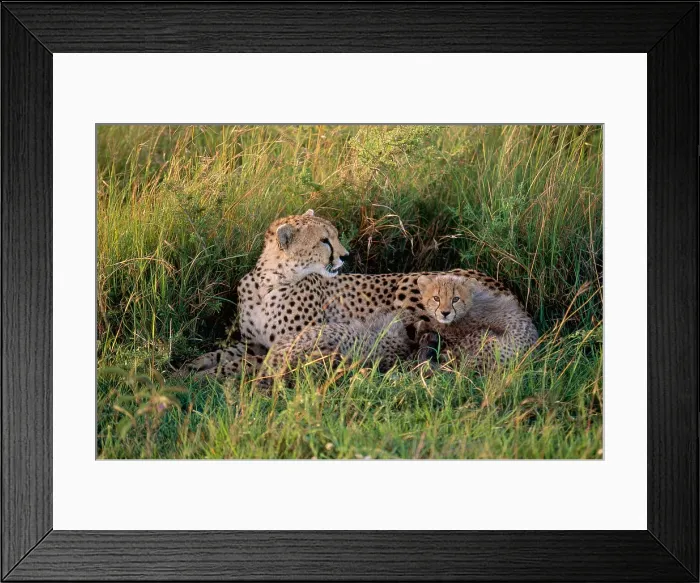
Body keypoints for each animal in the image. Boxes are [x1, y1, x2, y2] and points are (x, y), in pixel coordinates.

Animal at [181, 209, 517, 379]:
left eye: (334, 236)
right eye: (324, 240)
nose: (344, 256)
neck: (271, 280)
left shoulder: (285, 345)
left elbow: (241, 364)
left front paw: (203, 377)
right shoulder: (255, 342)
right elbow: (222, 353)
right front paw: (190, 367)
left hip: (409, 288)